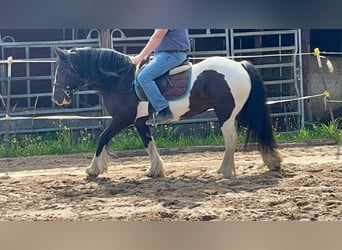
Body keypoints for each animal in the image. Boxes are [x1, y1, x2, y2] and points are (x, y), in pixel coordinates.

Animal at [52, 47, 282, 179]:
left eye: (62, 70)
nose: (57, 98)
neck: (120, 80)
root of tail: (240, 65)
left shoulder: (122, 119)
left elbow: (102, 138)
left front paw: (93, 169)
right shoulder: (139, 122)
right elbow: (148, 143)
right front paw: (155, 169)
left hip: (226, 114)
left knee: (231, 140)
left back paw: (225, 171)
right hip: (240, 112)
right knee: (258, 129)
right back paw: (272, 162)